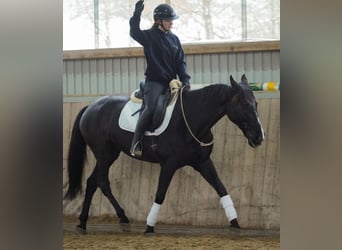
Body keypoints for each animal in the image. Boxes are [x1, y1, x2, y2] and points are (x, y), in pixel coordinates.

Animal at [65, 74, 266, 234]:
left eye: (256, 104)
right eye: (244, 104)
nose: (259, 137)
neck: (190, 120)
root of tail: (90, 107)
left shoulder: (203, 162)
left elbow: (221, 188)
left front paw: (235, 222)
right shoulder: (169, 165)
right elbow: (160, 194)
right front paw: (149, 227)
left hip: (110, 154)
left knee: (92, 182)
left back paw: (84, 222)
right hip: (104, 154)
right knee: (102, 182)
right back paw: (121, 218)